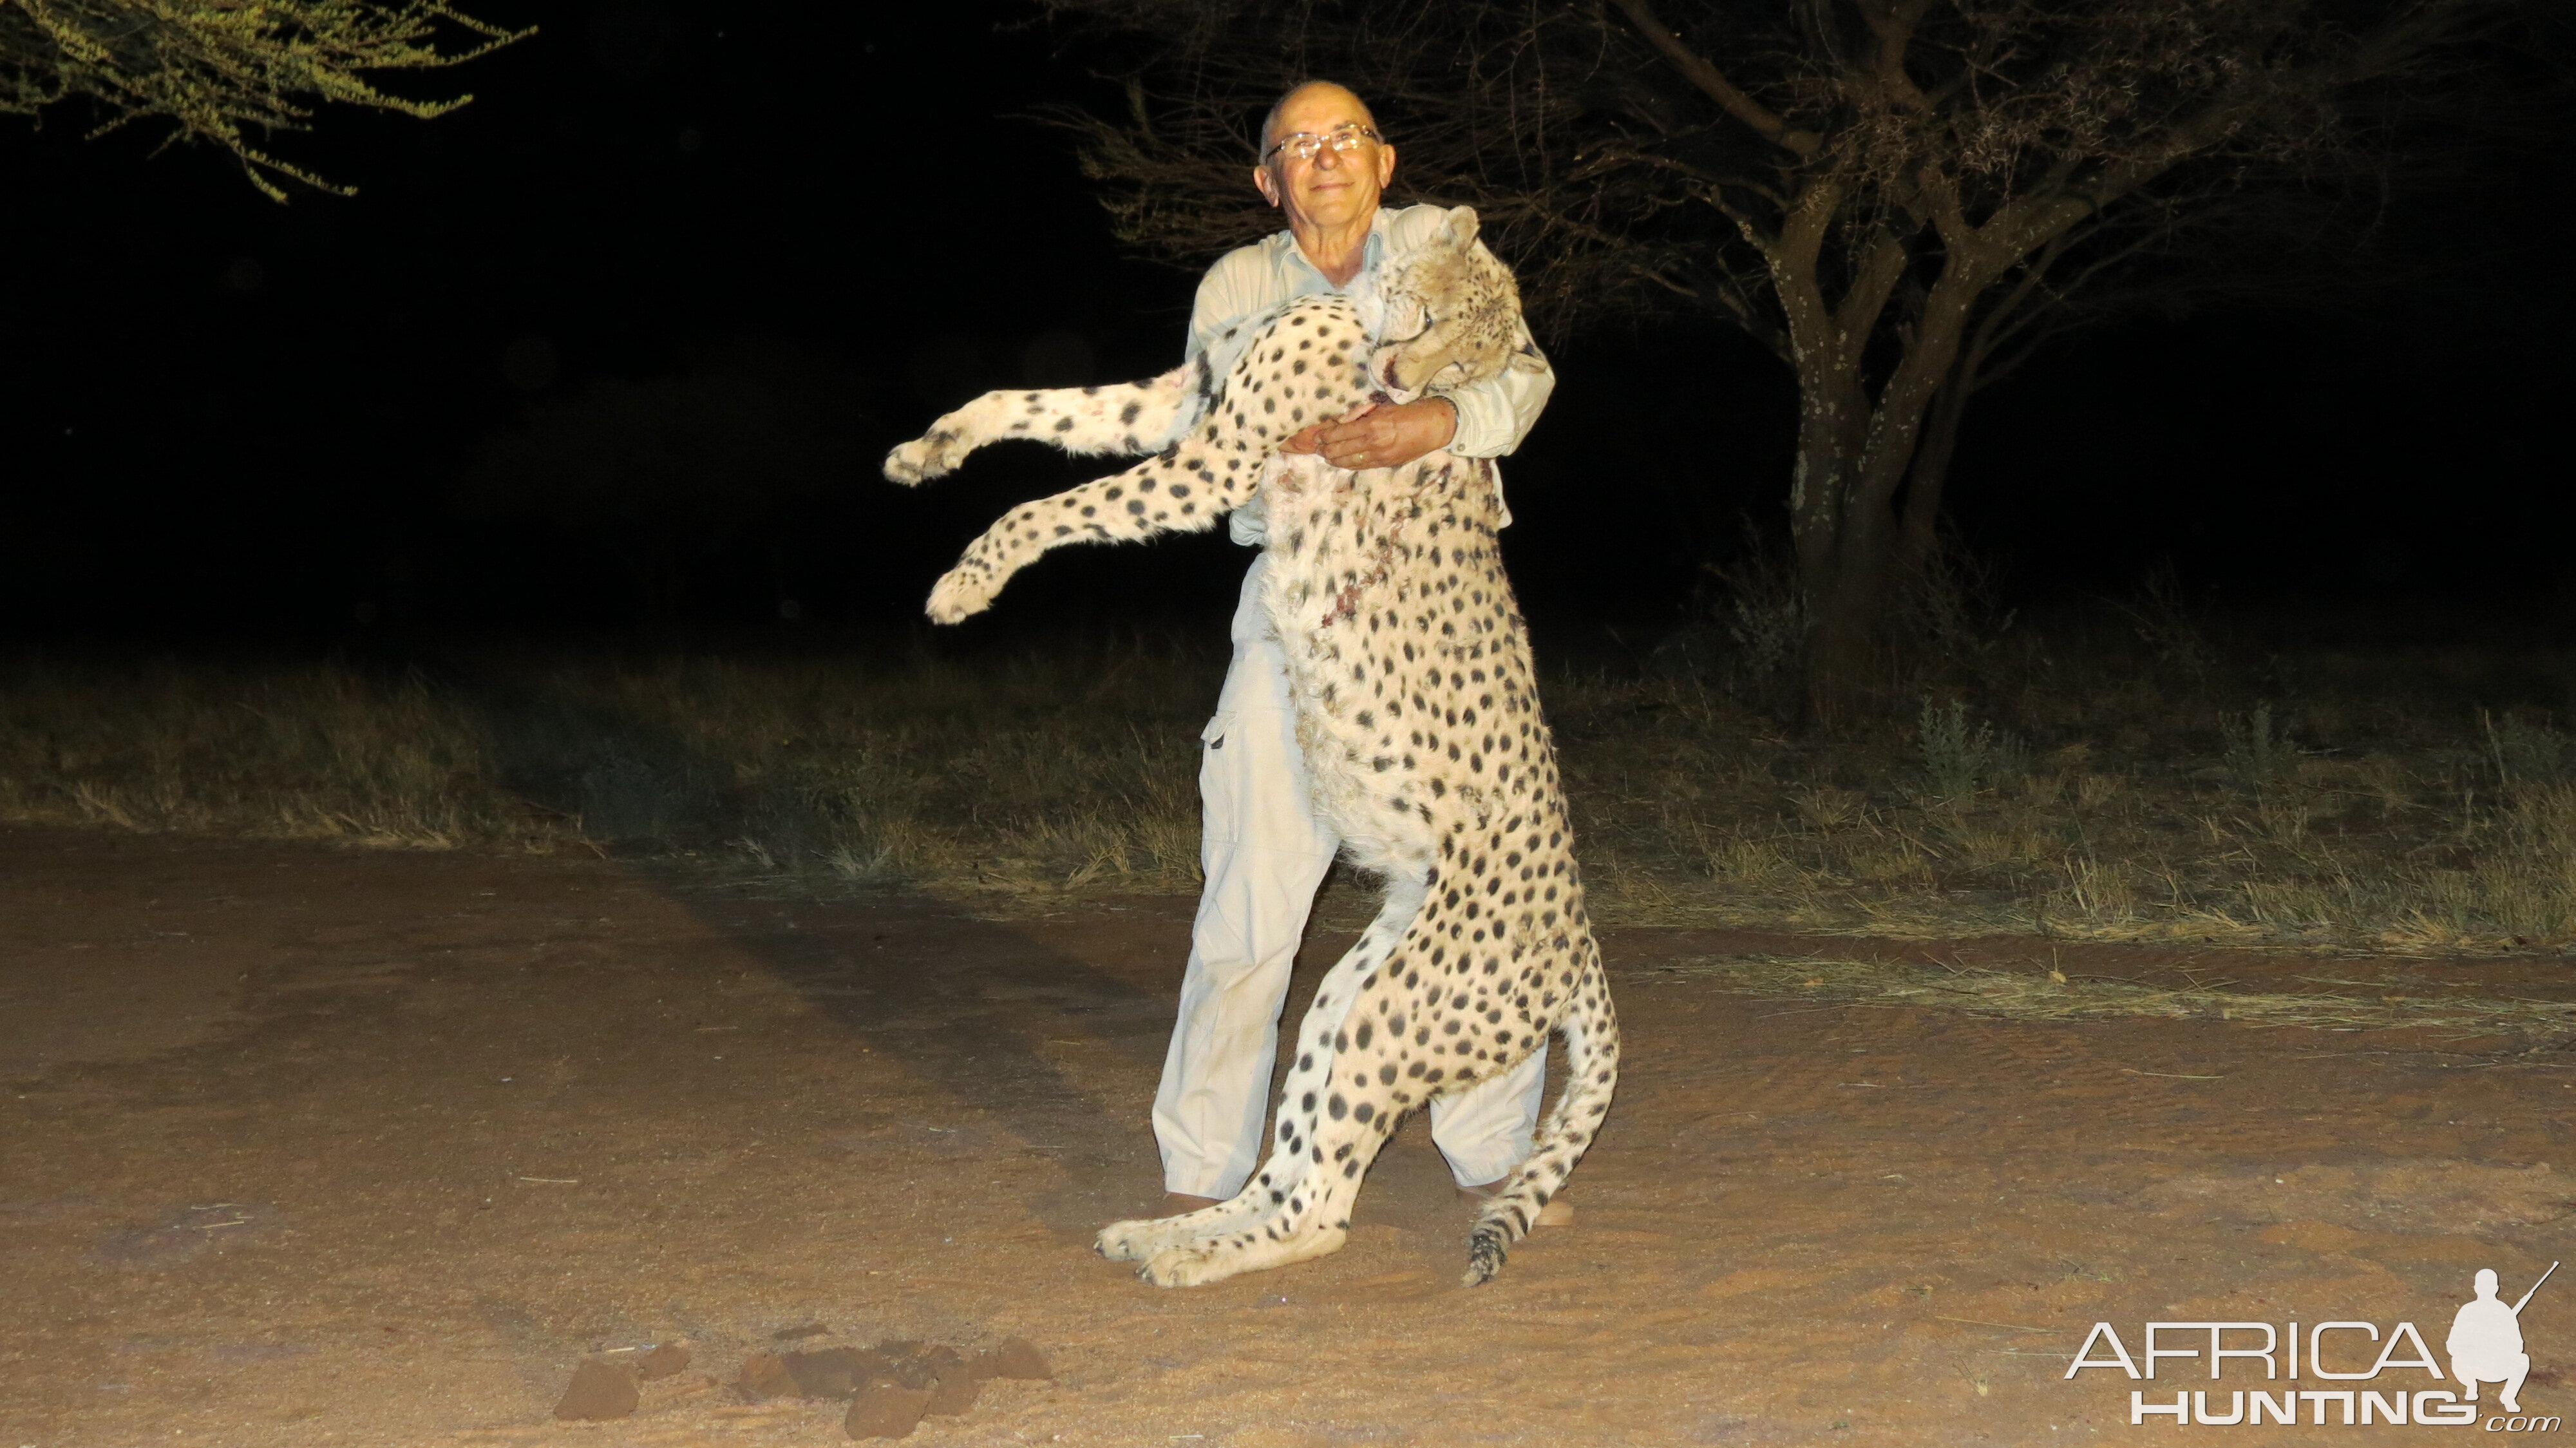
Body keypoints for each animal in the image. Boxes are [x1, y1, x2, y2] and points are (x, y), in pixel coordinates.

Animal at [881, 206, 1607, 1283]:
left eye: (1465, 369)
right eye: (1436, 325)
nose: (1407, 385)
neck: (1349, 298)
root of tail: (1582, 936)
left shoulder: (1215, 458)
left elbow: (1053, 508)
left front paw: (968, 582)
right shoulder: (1183, 395)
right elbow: (1035, 402)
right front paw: (930, 448)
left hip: (1393, 1021)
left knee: (1322, 1209)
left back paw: (1186, 1259)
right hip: (1348, 997)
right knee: (1294, 1161)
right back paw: (1164, 1231)